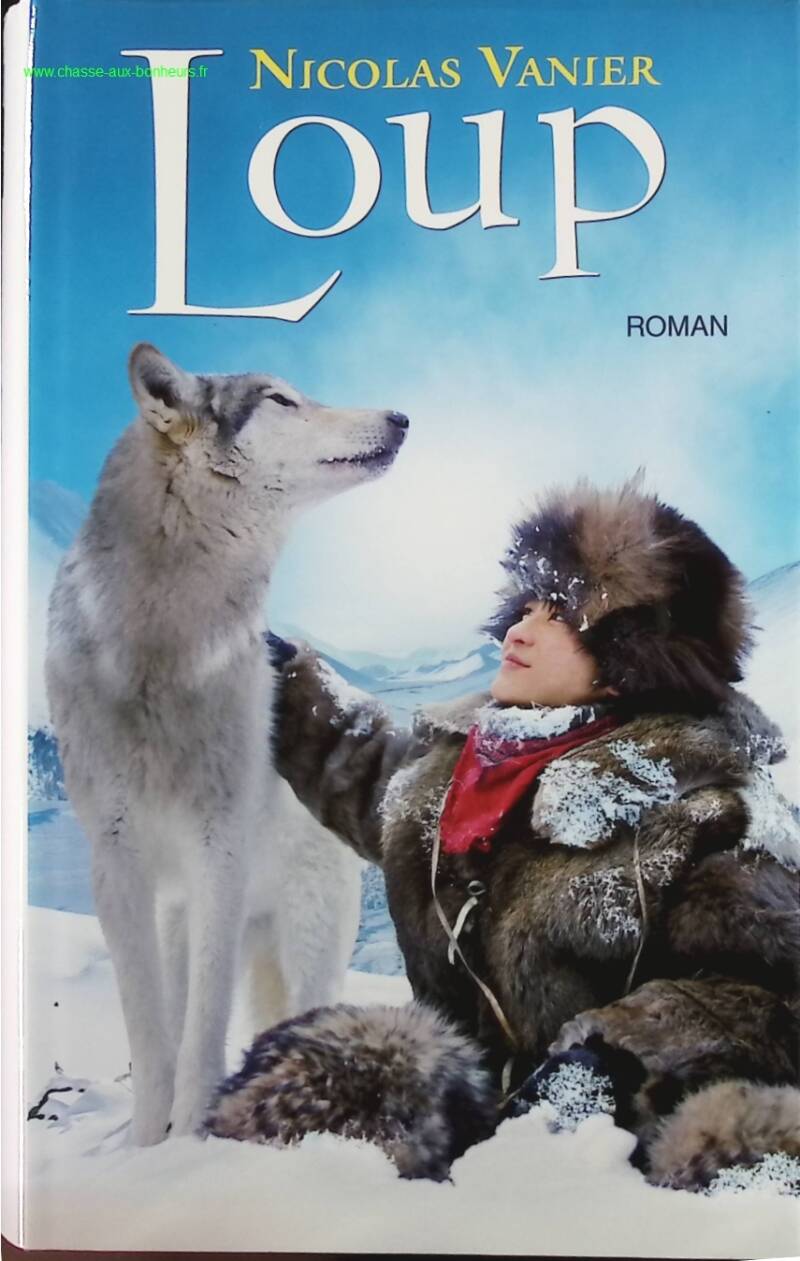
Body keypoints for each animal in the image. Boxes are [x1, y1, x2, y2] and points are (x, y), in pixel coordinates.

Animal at [45, 343, 408, 1144]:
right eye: (280, 399)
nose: (401, 417)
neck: (163, 656)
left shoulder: (220, 849)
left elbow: (201, 1033)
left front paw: (190, 1138)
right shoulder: (116, 861)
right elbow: (151, 1034)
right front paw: (145, 1146)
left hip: (306, 937)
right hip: (183, 916)